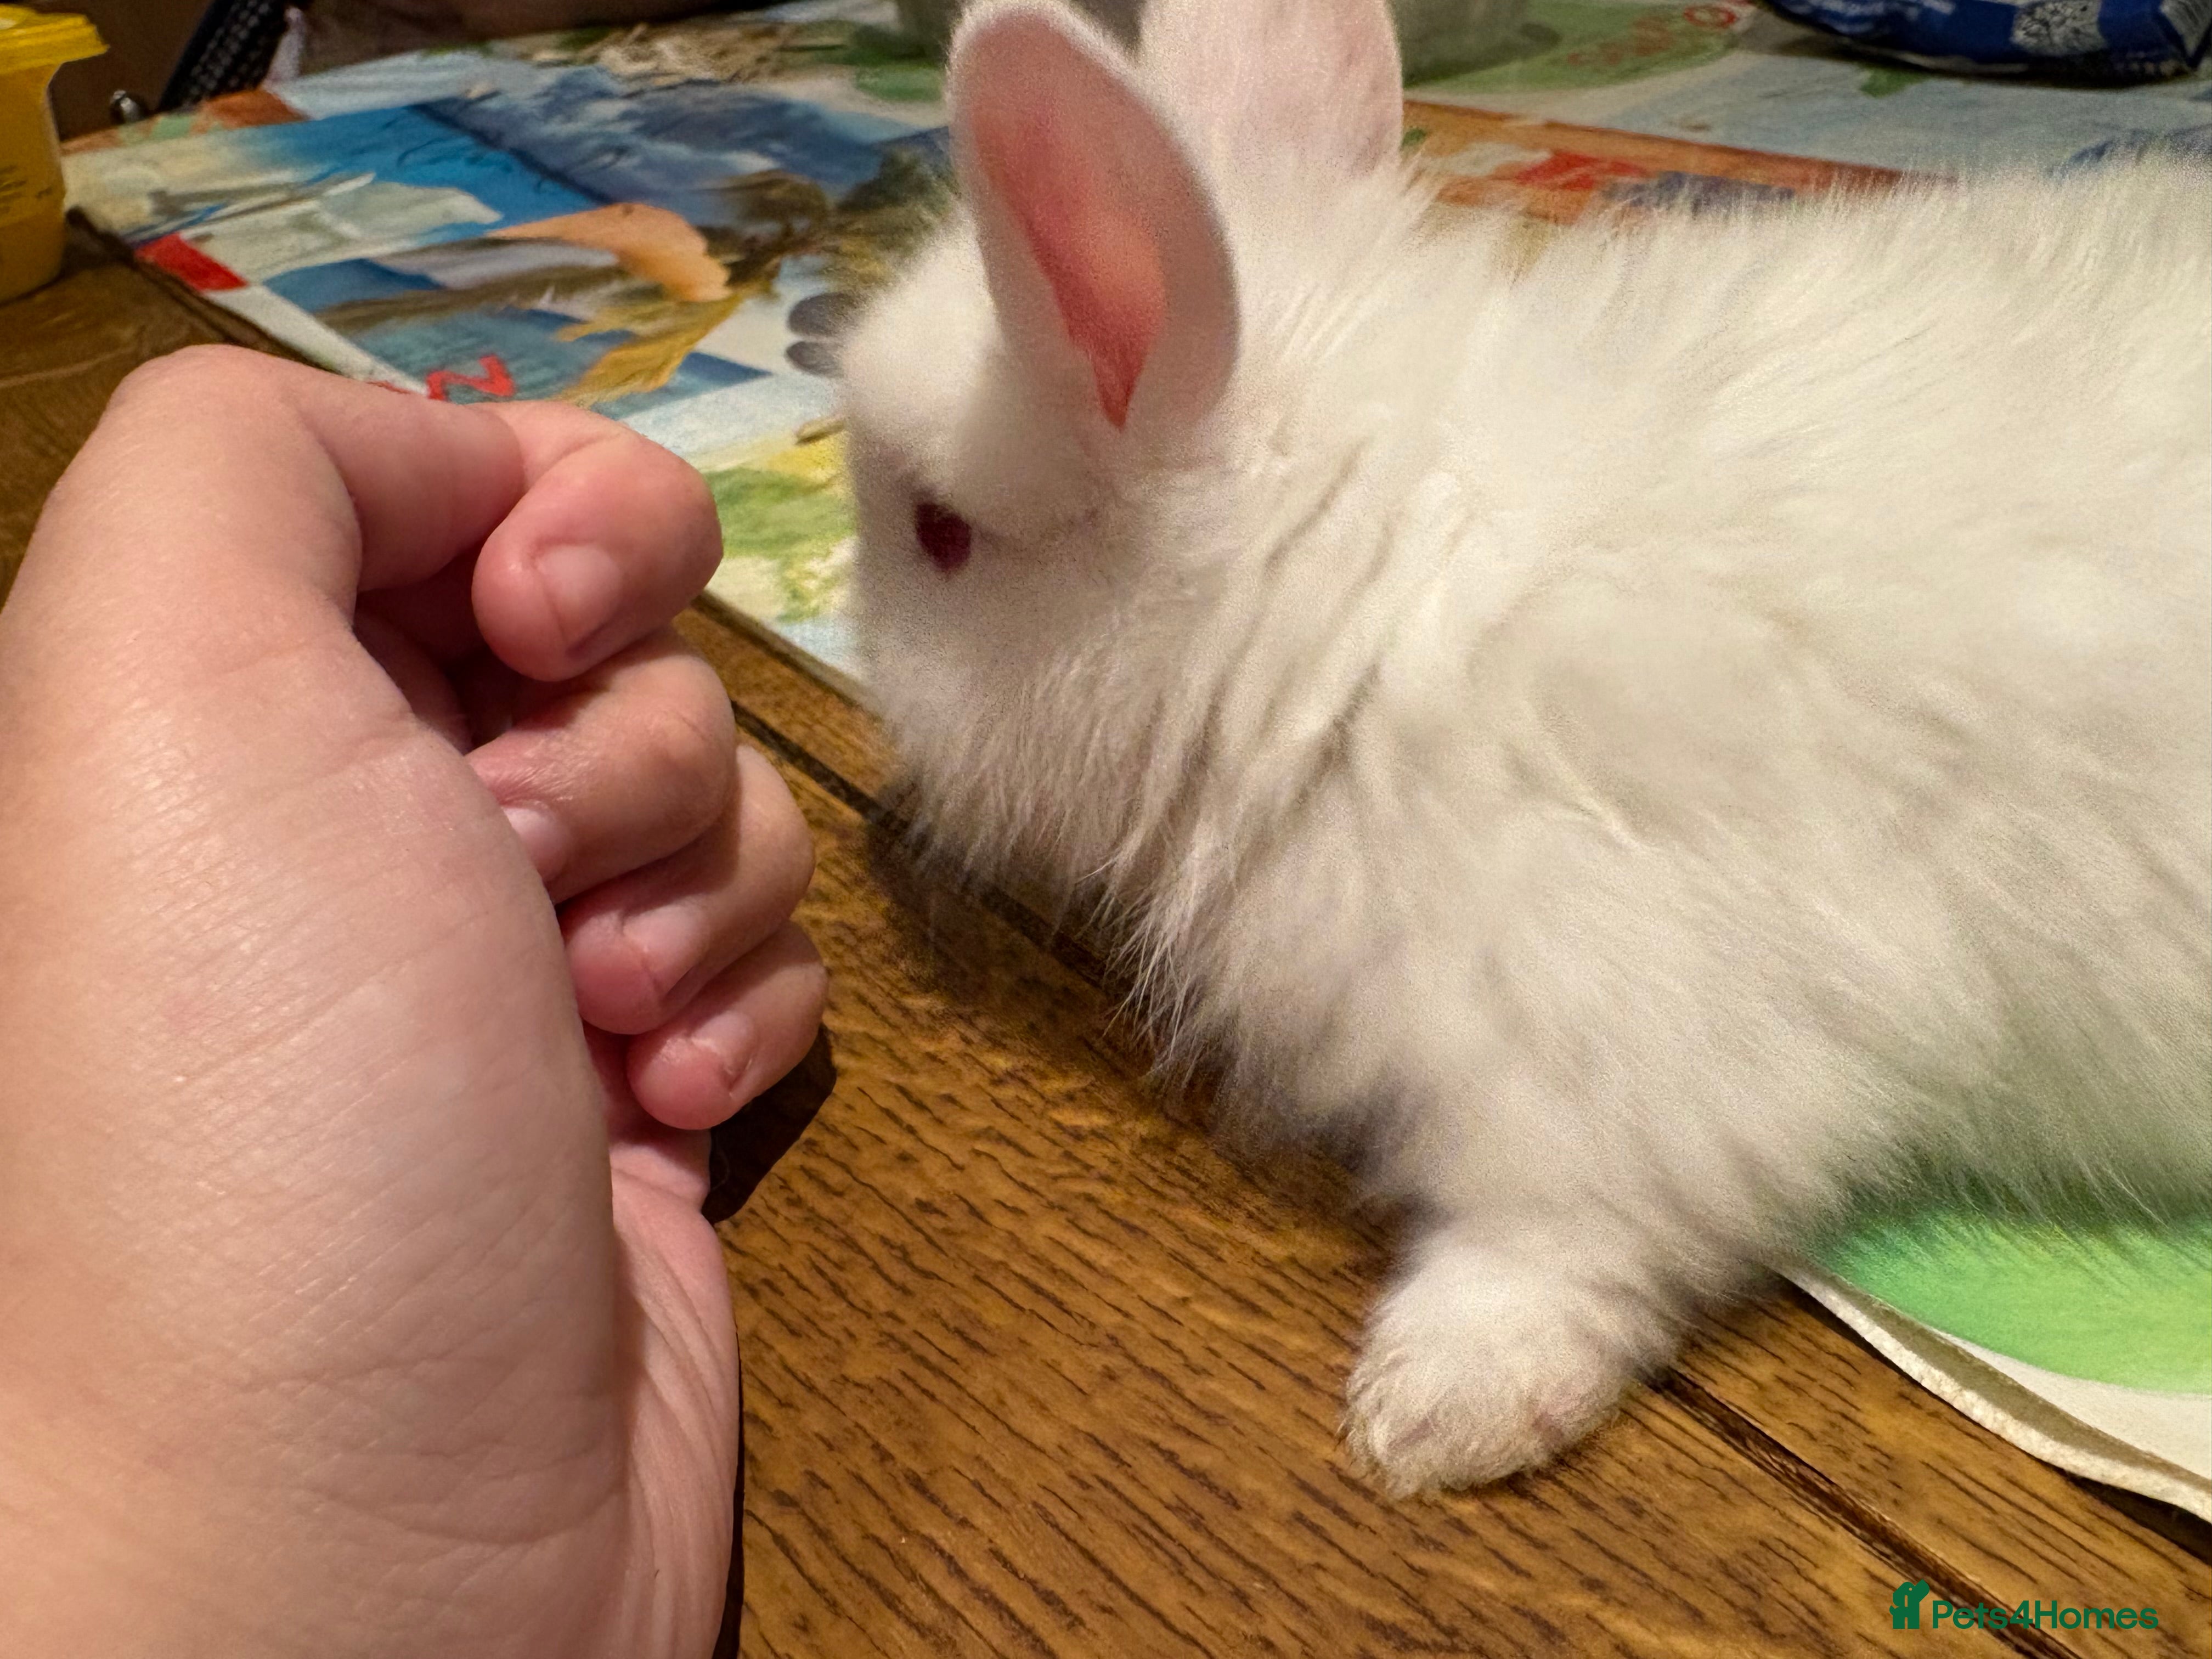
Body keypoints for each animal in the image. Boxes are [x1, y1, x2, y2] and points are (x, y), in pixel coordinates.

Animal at [837, 0, 2212, 1492]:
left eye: (941, 537)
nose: (863, 668)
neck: (1371, 581)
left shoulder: (1627, 1049)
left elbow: (1564, 1239)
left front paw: (1429, 1417)